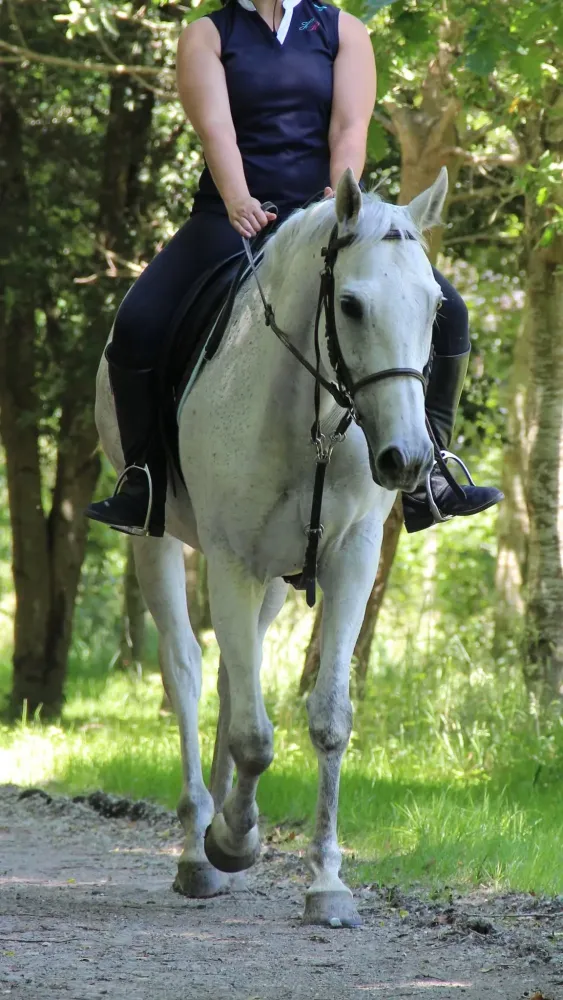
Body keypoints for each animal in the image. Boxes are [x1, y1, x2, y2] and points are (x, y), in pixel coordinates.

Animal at [94, 167, 448, 927]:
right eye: (350, 304)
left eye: (436, 306)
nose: (407, 460)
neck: (309, 414)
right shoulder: (229, 557)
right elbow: (254, 737)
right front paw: (232, 842)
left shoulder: (348, 558)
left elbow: (327, 718)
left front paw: (326, 883)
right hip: (162, 545)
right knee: (188, 669)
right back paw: (199, 848)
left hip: (278, 577)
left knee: (237, 675)